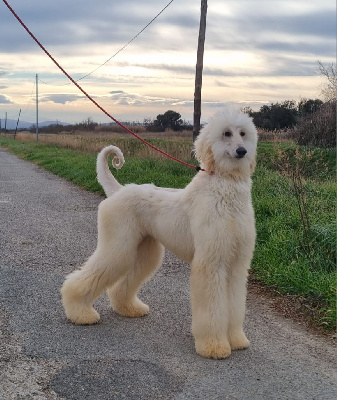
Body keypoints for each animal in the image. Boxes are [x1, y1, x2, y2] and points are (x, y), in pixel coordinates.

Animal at [61, 106, 258, 360]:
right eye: (226, 133)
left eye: (243, 133)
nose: (242, 151)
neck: (225, 190)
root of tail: (119, 190)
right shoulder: (211, 263)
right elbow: (212, 308)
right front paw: (213, 345)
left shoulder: (236, 265)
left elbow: (234, 304)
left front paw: (236, 339)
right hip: (118, 247)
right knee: (85, 277)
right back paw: (80, 312)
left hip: (145, 251)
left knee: (122, 285)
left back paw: (129, 308)